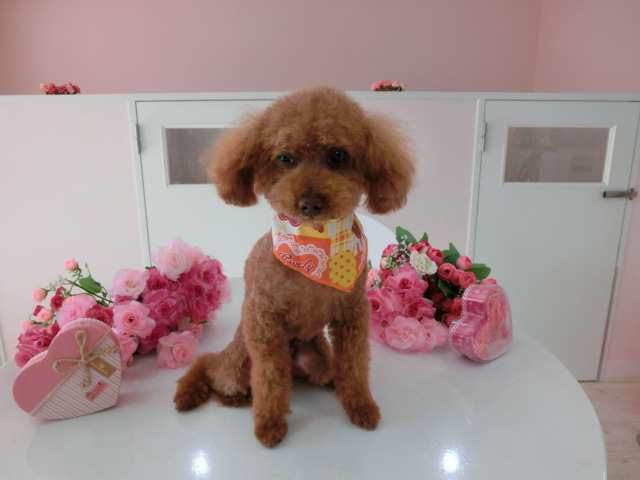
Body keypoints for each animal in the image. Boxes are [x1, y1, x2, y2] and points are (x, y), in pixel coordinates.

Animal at [174, 86, 415, 447]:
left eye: (338, 155)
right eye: (285, 158)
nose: (310, 203)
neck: (315, 245)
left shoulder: (352, 313)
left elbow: (354, 366)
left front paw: (360, 406)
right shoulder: (263, 320)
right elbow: (269, 378)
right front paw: (269, 424)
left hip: (319, 359)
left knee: (328, 371)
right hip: (238, 362)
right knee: (212, 367)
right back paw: (214, 395)